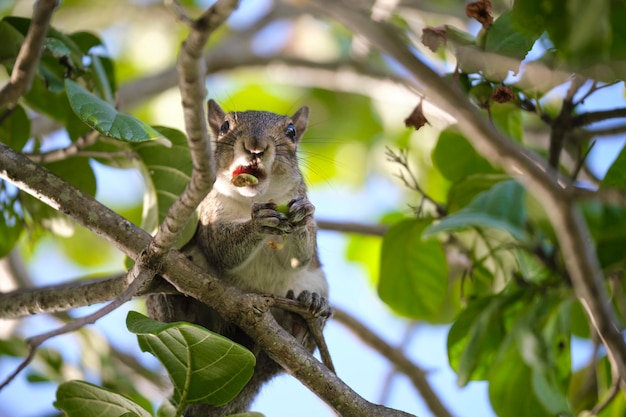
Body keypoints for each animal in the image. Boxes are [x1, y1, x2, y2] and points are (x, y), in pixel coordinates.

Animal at [146, 99, 330, 414]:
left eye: (291, 132)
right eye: (224, 127)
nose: (255, 147)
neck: (254, 199)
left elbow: (301, 258)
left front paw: (301, 216)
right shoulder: (209, 213)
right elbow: (222, 250)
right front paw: (257, 224)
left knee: (276, 363)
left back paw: (303, 315)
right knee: (174, 317)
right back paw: (178, 302)